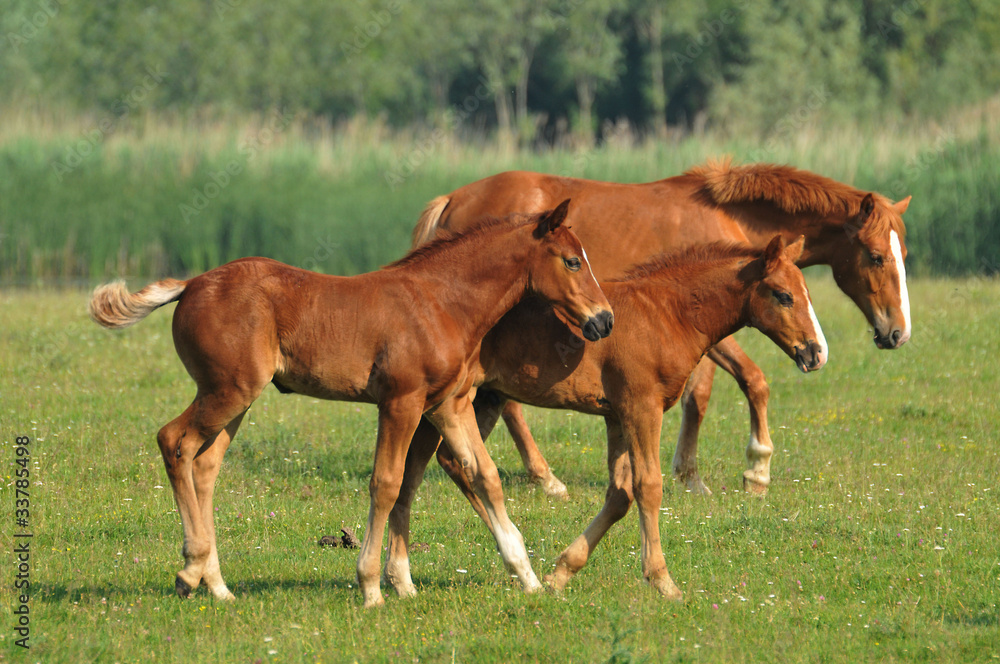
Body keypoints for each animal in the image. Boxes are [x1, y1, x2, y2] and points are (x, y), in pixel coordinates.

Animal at [88, 202, 614, 608]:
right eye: (572, 261)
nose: (604, 320)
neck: (441, 302)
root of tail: (193, 283)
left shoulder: (448, 406)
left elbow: (485, 476)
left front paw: (528, 578)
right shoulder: (400, 403)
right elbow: (387, 483)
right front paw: (371, 587)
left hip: (234, 398)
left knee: (205, 466)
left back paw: (217, 586)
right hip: (227, 390)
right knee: (174, 442)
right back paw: (190, 570)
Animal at [384, 235, 826, 599]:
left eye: (807, 292)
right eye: (783, 296)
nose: (816, 352)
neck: (668, 312)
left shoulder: (616, 417)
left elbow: (619, 495)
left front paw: (562, 572)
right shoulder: (642, 408)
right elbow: (648, 487)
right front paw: (663, 581)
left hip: (481, 400)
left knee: (442, 465)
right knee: (427, 469)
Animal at [411, 159, 911, 495]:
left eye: (902, 254)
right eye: (876, 256)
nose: (898, 333)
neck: (727, 217)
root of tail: (453, 198)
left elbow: (699, 397)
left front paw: (691, 474)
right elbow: (752, 381)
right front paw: (755, 469)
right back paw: (546, 478)